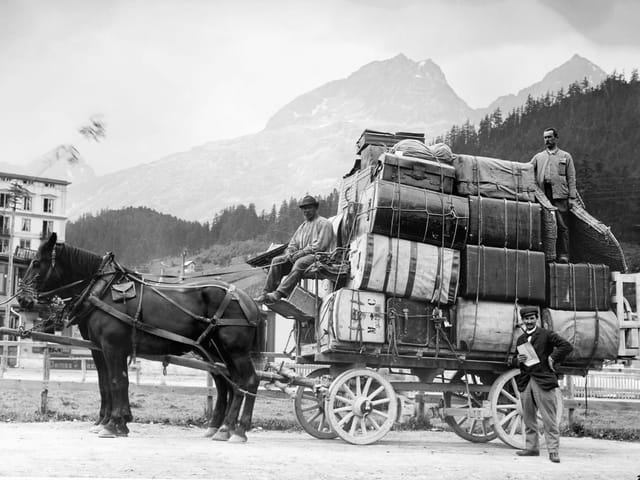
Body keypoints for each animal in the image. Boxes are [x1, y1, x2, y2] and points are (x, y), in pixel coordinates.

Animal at [18, 232, 262, 442]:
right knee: (228, 382)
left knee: (248, 380)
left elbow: (117, 381)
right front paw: (116, 422)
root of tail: (246, 298)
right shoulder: (100, 348)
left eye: (37, 262)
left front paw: (112, 424)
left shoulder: (112, 347)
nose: (22, 299)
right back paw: (221, 427)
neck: (102, 291)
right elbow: (107, 382)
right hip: (214, 351)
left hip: (235, 351)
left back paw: (236, 430)